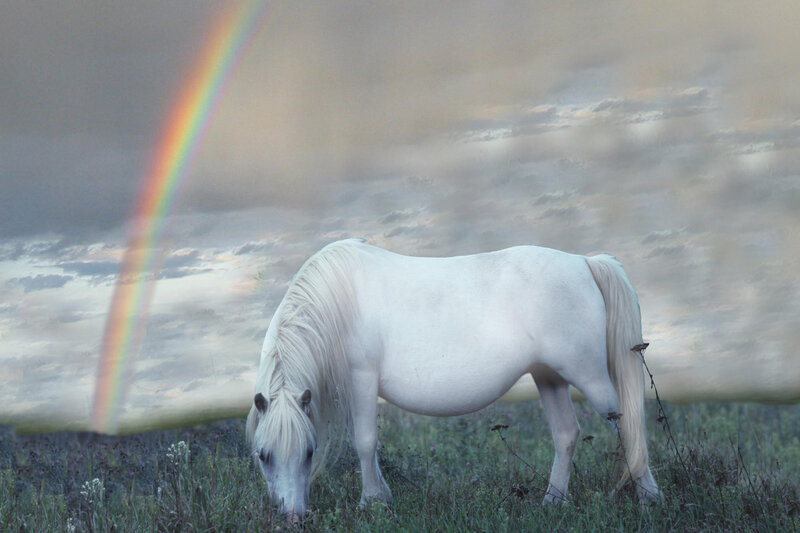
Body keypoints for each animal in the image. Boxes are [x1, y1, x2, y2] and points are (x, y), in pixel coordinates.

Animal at [246, 239, 660, 518]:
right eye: (263, 455)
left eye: (309, 452)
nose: (292, 517)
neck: (337, 300)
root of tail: (585, 262)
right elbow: (366, 444)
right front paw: (382, 496)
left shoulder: (362, 378)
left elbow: (364, 443)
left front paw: (371, 502)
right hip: (549, 377)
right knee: (566, 434)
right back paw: (552, 501)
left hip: (587, 374)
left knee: (627, 424)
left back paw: (650, 498)